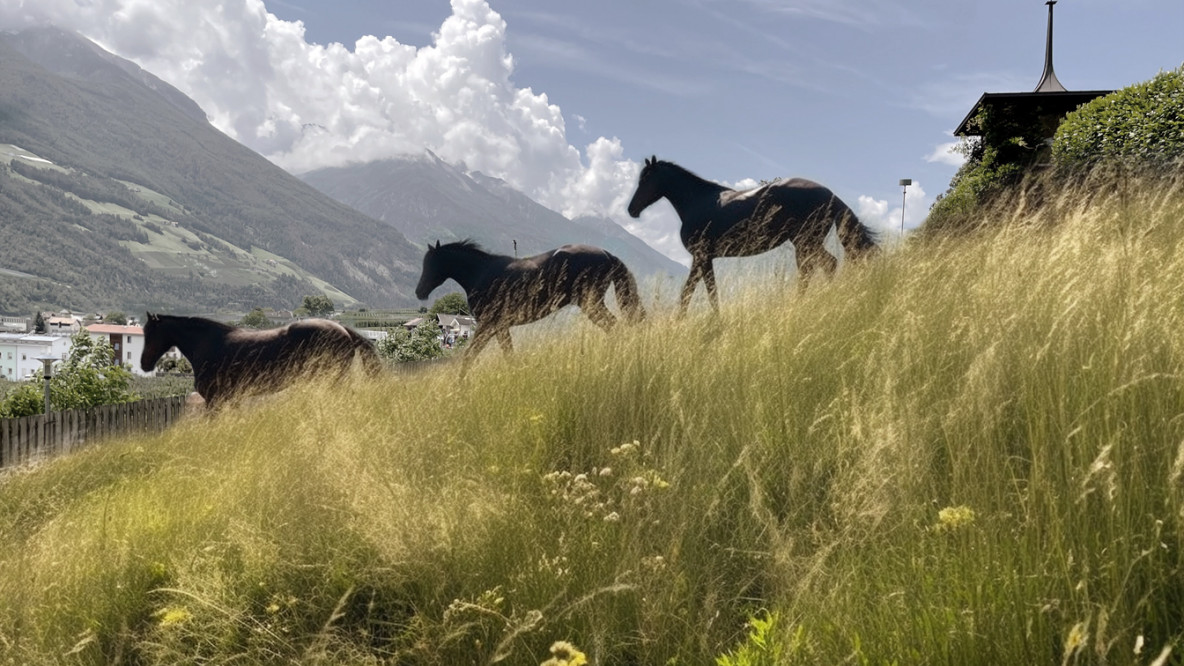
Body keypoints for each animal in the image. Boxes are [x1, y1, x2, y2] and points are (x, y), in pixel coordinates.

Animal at [412, 235, 644, 364]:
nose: (419, 291)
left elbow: (470, 356)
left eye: (431, 264)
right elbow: (508, 355)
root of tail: (606, 254)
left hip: (591, 303)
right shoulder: (499, 327)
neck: (481, 273)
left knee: (614, 327)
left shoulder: (488, 324)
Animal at [629, 155, 880, 312]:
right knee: (822, 266)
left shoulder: (702, 256)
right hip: (805, 242)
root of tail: (830, 195)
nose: (632, 209)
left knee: (821, 266)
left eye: (646, 179)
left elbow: (701, 292)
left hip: (805, 241)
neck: (697, 202)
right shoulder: (705, 259)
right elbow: (700, 292)